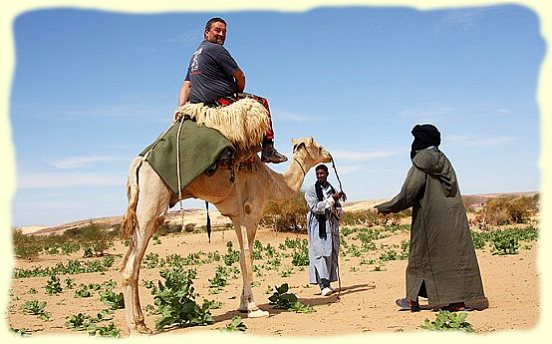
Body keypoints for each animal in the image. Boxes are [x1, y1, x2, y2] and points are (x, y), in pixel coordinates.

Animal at [120, 136, 332, 334]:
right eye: (319, 147)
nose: (329, 156)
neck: (272, 181)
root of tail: (136, 164)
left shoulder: (236, 216)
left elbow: (241, 258)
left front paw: (243, 306)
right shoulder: (251, 212)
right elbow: (247, 258)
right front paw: (254, 309)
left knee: (133, 264)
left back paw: (142, 324)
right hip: (151, 204)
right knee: (130, 266)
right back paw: (133, 328)